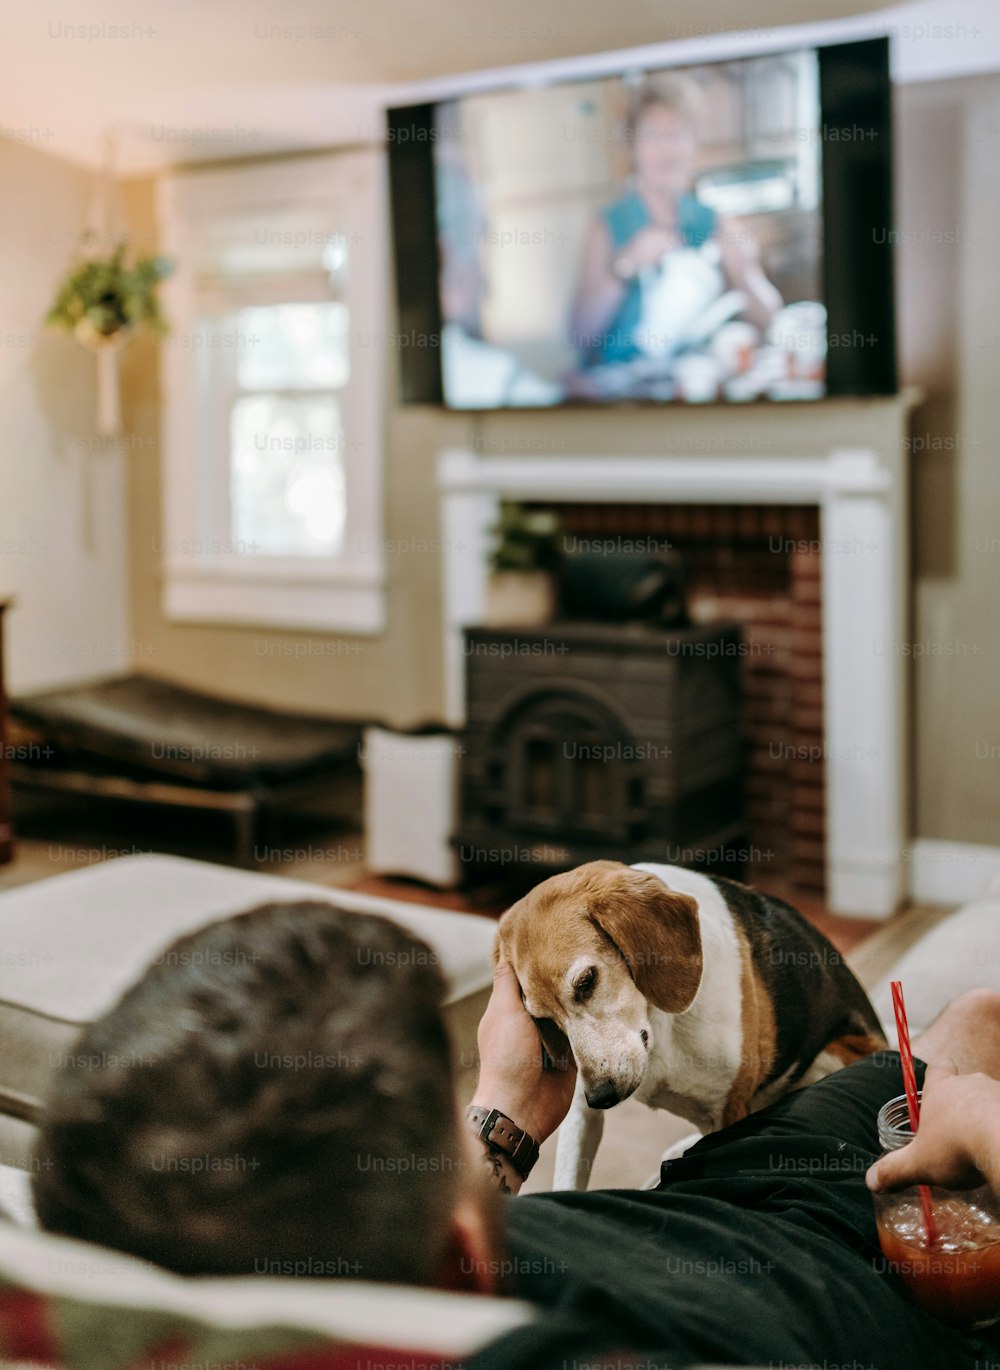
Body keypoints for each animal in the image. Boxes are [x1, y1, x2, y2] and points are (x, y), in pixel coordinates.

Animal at [495, 865, 882, 1189]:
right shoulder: (581, 1113)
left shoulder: (727, 1112)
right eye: (543, 1020)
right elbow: (568, 1180)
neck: (658, 1027)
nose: (601, 1096)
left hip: (830, 1058)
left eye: (587, 981)